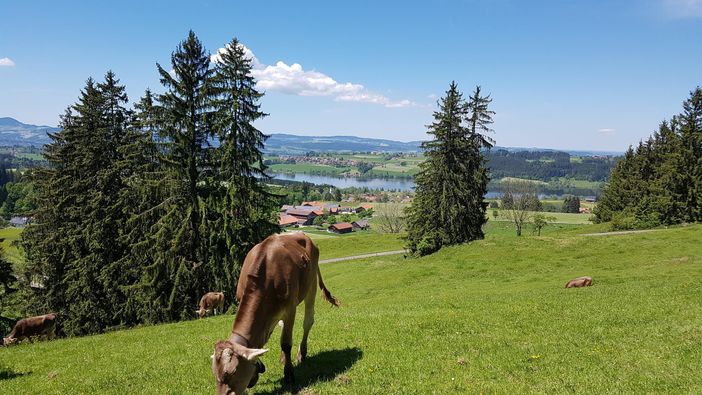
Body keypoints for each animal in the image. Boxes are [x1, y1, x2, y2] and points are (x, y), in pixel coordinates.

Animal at [210, 234, 340, 394]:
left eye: (232, 372)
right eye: (215, 373)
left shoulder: (290, 309)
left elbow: (286, 343)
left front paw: (289, 374)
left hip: (311, 284)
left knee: (308, 321)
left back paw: (301, 353)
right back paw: (284, 358)